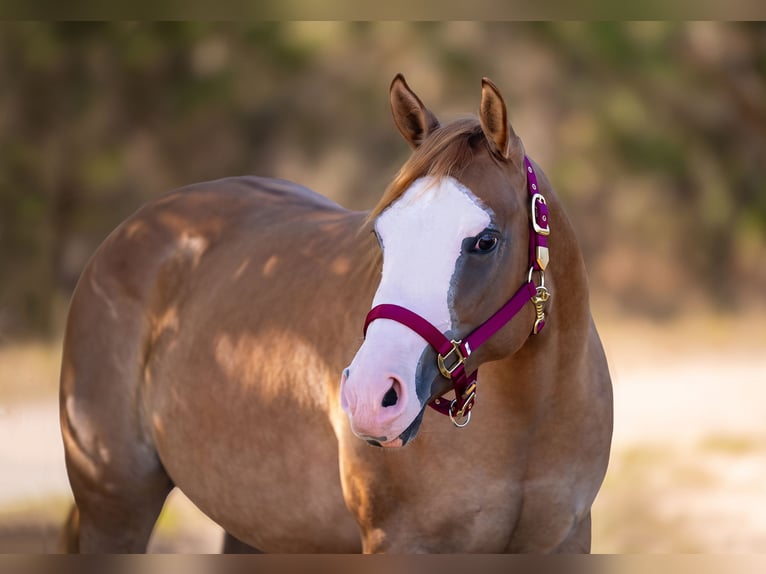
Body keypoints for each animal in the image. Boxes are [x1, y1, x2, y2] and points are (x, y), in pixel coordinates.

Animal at [59, 74, 613, 553]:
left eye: (485, 241)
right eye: (381, 236)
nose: (370, 397)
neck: (530, 422)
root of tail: (132, 230)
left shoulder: (566, 542)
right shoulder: (398, 544)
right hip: (115, 506)